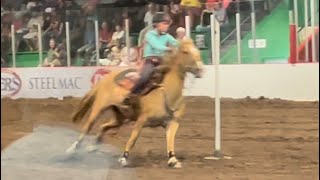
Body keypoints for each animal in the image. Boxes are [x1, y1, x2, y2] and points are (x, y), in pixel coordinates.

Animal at [66, 38, 204, 168]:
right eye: (185, 51)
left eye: (197, 49)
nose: (200, 69)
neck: (166, 93)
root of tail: (105, 78)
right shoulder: (141, 120)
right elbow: (133, 139)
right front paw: (123, 158)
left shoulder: (173, 122)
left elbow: (170, 141)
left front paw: (173, 160)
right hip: (99, 108)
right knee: (87, 127)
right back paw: (72, 149)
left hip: (120, 117)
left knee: (103, 126)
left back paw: (93, 146)